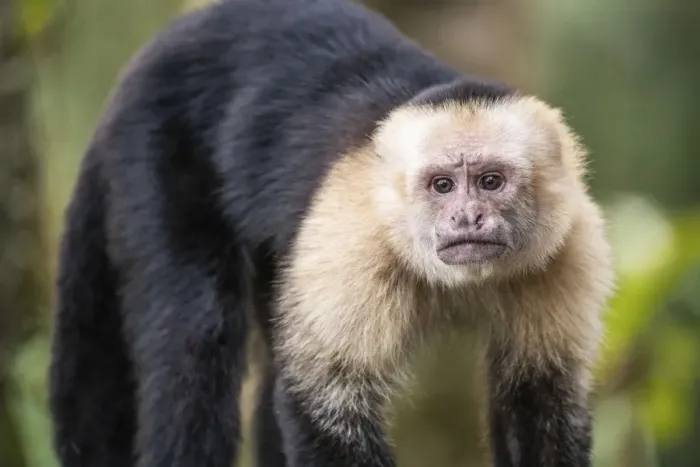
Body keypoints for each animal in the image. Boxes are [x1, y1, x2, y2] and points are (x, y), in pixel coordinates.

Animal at [48, 0, 614, 466]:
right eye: (443, 185)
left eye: (491, 181)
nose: (467, 218)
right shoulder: (352, 239)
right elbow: (324, 405)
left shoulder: (571, 246)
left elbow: (541, 402)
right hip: (150, 148)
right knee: (196, 341)